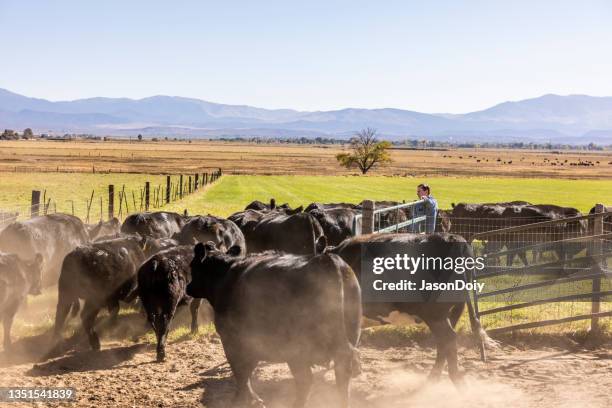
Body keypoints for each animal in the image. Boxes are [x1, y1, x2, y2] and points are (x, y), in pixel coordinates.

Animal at [185, 242, 358, 408]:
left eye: (192, 265)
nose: (188, 287)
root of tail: (325, 260)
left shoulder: (232, 341)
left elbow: (241, 373)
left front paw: (244, 400)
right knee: (341, 376)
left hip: (297, 350)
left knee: (306, 380)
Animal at [328, 233, 490, 386]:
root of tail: (452, 238)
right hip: (453, 311)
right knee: (444, 344)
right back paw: (434, 378)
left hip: (434, 314)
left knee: (448, 339)